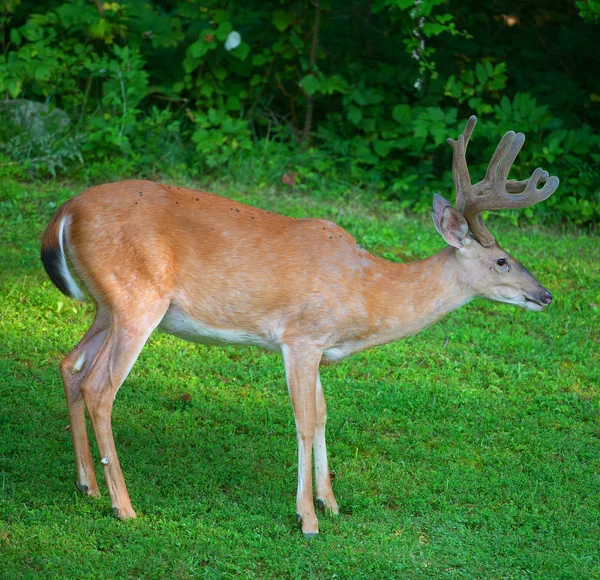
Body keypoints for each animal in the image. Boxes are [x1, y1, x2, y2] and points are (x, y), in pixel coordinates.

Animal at [42, 115, 556, 536]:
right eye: (502, 260)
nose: (546, 295)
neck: (365, 292)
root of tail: (64, 211)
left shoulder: (320, 350)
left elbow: (325, 414)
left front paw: (331, 501)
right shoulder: (301, 337)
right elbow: (305, 421)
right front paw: (307, 517)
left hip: (106, 305)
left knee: (70, 365)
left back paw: (87, 485)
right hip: (136, 300)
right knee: (100, 386)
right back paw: (124, 506)